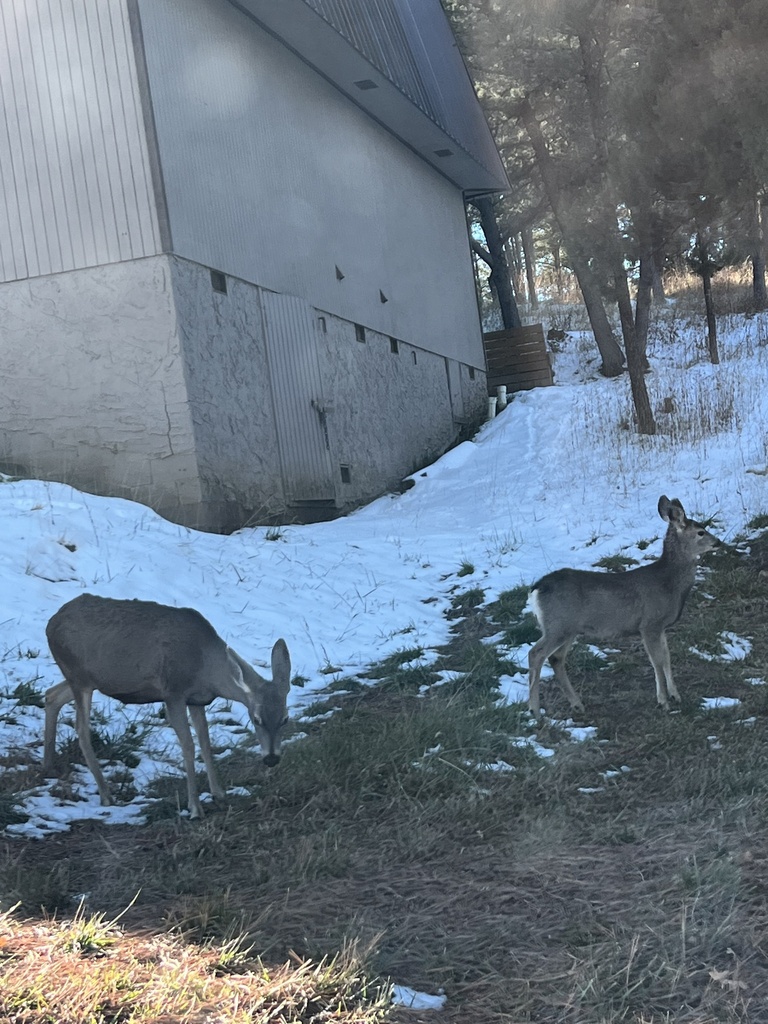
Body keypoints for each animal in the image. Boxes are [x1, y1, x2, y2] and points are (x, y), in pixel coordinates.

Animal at [42, 594, 292, 819]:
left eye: (285, 719)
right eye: (256, 719)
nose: (271, 758)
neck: (205, 667)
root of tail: (51, 623)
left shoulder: (196, 699)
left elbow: (205, 742)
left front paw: (219, 794)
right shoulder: (173, 693)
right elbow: (189, 746)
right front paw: (195, 808)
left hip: (87, 680)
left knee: (51, 695)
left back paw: (49, 766)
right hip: (79, 677)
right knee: (81, 729)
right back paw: (105, 794)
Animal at [528, 496, 721, 718]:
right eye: (701, 532)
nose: (718, 542)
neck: (669, 582)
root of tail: (537, 587)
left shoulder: (660, 626)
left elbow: (667, 657)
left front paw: (675, 695)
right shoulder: (649, 623)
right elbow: (657, 661)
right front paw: (663, 701)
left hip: (568, 628)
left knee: (556, 658)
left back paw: (577, 704)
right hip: (558, 624)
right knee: (536, 654)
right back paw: (535, 710)